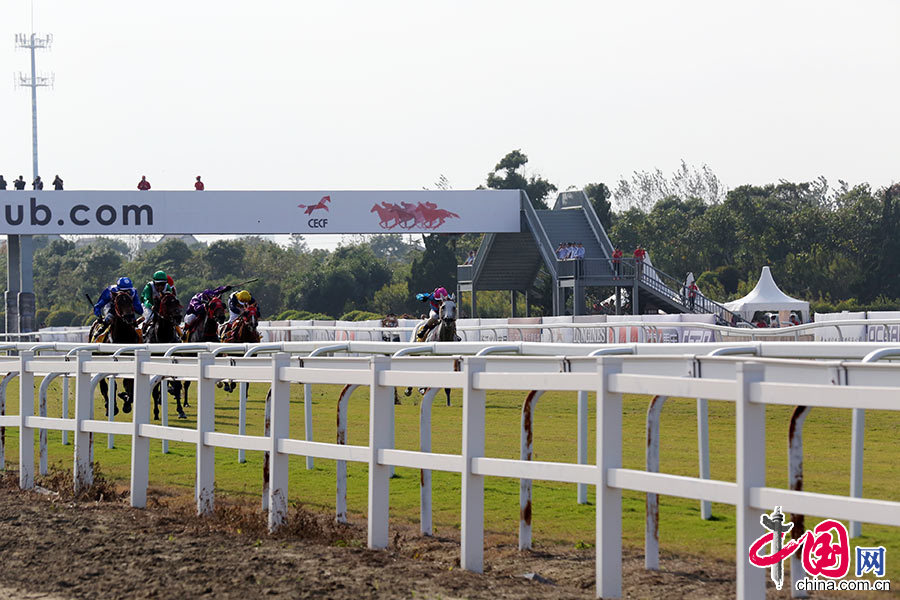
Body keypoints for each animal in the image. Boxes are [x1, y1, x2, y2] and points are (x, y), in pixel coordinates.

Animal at [92, 290, 142, 418]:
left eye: (130, 301)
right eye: (118, 302)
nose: (129, 317)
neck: (123, 336)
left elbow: (130, 384)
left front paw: (126, 400)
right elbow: (113, 386)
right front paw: (115, 405)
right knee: (104, 387)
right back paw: (109, 406)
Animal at [142, 292, 186, 420]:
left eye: (177, 301)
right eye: (166, 303)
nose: (178, 317)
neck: (162, 337)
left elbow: (176, 386)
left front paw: (180, 410)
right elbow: (155, 389)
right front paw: (156, 412)